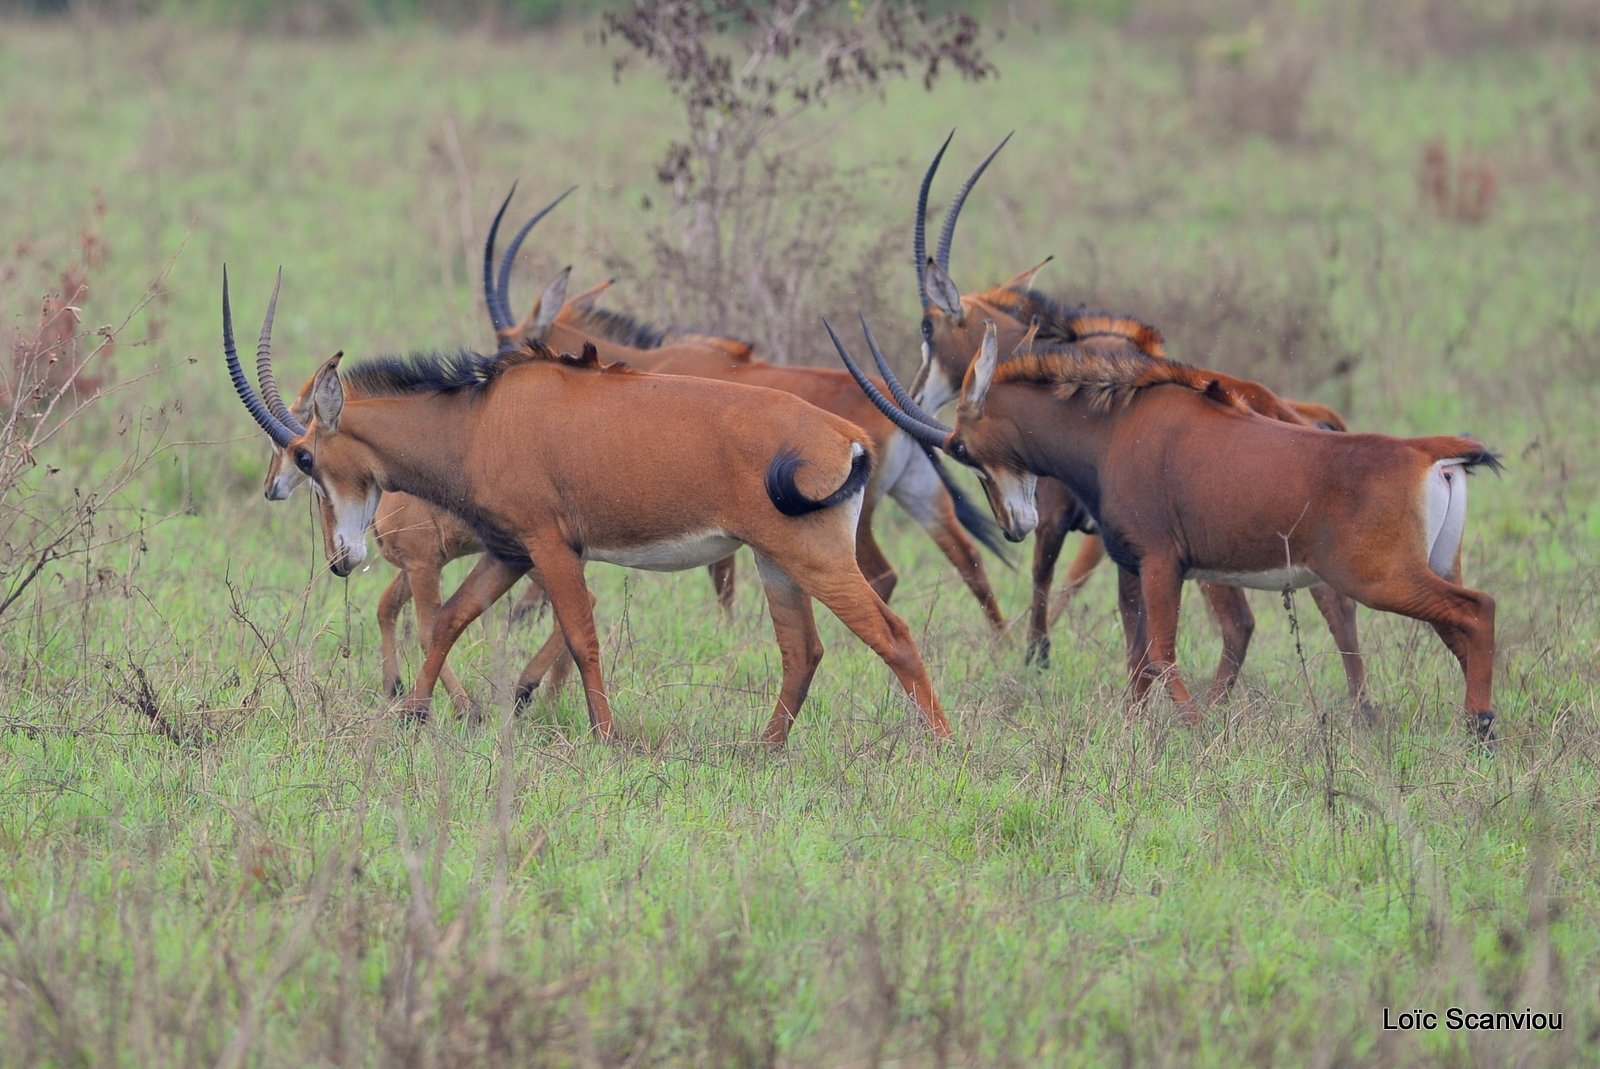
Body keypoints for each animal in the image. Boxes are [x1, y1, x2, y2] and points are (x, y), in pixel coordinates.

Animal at [225, 272, 947, 748]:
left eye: (306, 457)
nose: (340, 559)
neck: (478, 420)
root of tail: (846, 434)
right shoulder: (509, 552)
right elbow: (449, 621)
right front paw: (415, 713)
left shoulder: (548, 547)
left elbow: (581, 635)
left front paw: (602, 736)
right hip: (776, 561)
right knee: (802, 651)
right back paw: (761, 750)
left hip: (816, 556)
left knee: (894, 635)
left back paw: (941, 747)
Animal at [476, 188, 1011, 633]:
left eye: (510, 347)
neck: (653, 361)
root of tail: (902, 407)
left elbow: (721, 578)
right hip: (918, 494)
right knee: (971, 560)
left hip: (854, 517)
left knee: (882, 575)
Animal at [838, 313, 1497, 739]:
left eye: (962, 448)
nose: (1013, 526)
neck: (1113, 427)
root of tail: (1428, 453)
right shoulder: (1132, 564)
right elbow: (1138, 659)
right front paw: (1132, 731)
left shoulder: (1161, 562)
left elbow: (1160, 651)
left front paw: (1199, 730)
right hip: (1428, 567)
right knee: (1460, 625)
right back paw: (1473, 726)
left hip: (1379, 577)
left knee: (1475, 609)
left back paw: (1481, 725)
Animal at [908, 136, 1369, 716]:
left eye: (928, 328)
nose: (917, 394)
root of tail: (1297, 413)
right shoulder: (1112, 536)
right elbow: (1114, 611)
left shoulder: (1058, 514)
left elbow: (1045, 579)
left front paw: (1036, 660)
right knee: (1332, 603)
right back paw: (1355, 711)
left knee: (1246, 621)